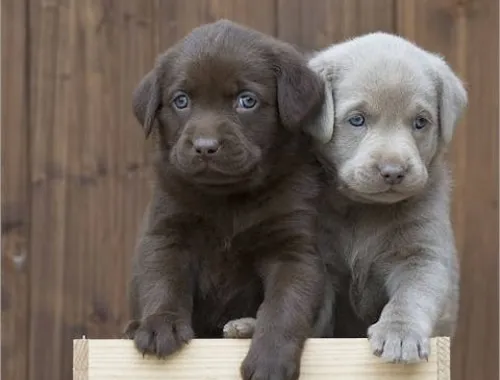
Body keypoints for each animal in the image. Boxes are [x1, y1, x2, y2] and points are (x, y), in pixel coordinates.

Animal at [125, 20, 328, 380]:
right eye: (181, 100)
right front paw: (161, 325)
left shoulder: (293, 249)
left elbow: (284, 305)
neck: (228, 199)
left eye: (246, 100)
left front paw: (270, 359)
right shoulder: (167, 233)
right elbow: (163, 280)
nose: (205, 147)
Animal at [308, 31, 468, 362]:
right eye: (357, 120)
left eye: (420, 122)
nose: (393, 171)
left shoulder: (422, 254)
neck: (363, 210)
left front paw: (400, 334)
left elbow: (410, 296)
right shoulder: (319, 258)